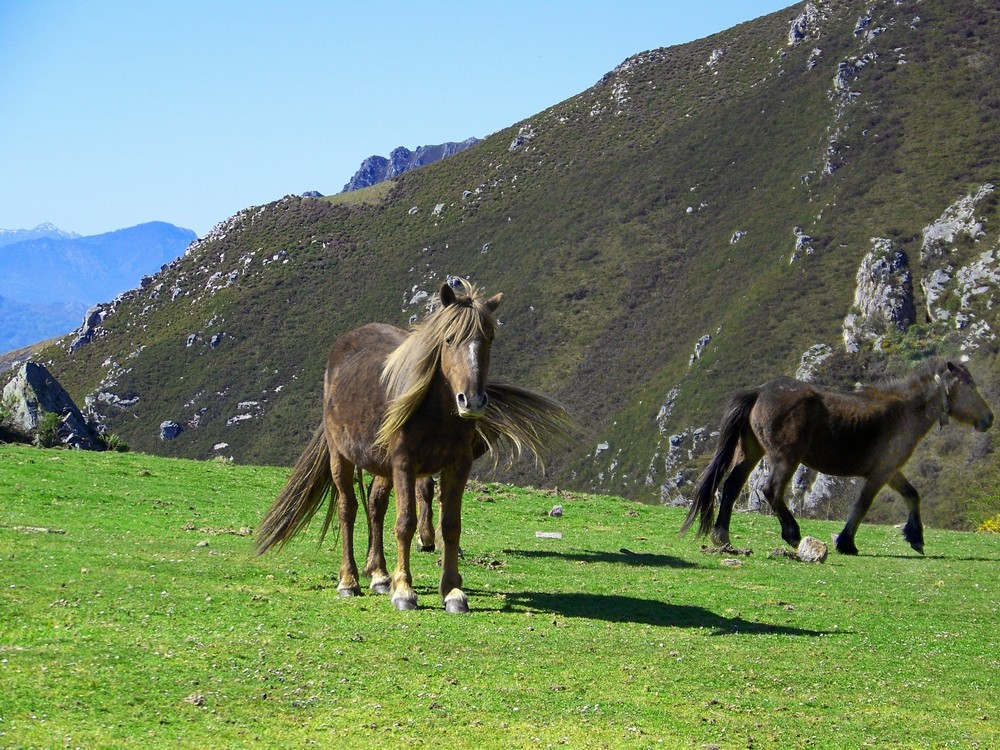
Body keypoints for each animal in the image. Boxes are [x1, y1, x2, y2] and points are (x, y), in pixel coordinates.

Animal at [254, 282, 576, 612]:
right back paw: (349, 581)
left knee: (375, 506)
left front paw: (452, 591)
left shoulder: (457, 467)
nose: (472, 401)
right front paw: (404, 590)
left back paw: (379, 575)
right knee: (348, 509)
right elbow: (404, 524)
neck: (435, 412)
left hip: (381, 466)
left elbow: (451, 525)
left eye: (489, 339)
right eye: (449, 339)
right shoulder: (404, 464)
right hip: (340, 457)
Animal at [680, 362, 992, 556]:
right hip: (786, 458)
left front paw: (915, 537)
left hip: (752, 452)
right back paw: (792, 533)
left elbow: (912, 495)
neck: (904, 411)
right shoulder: (881, 473)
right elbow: (862, 506)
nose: (989, 418)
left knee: (732, 486)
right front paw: (846, 542)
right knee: (770, 490)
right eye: (971, 387)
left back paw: (721, 535)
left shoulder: (891, 471)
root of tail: (759, 392)